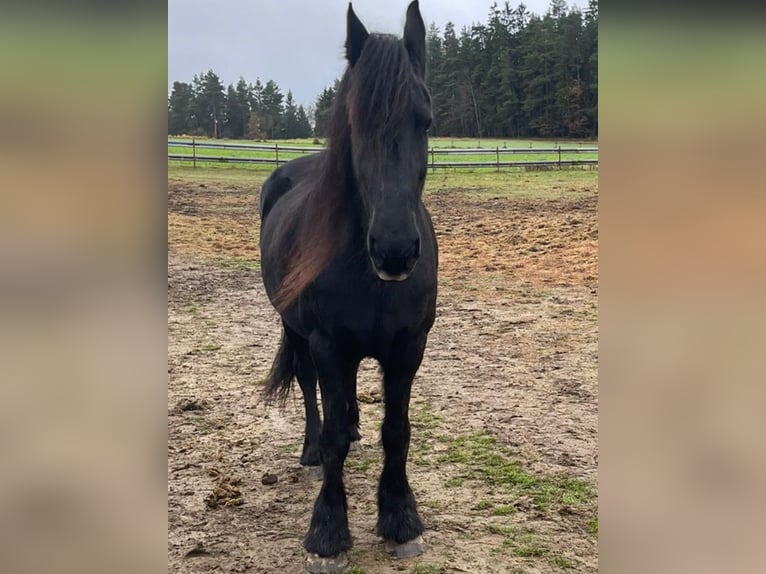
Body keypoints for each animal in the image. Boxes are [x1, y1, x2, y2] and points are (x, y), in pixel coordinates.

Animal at [258, 1, 436, 571]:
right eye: (357, 122)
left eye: (425, 121)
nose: (395, 249)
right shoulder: (328, 343)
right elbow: (334, 431)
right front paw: (328, 532)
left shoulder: (408, 346)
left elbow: (397, 430)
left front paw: (400, 520)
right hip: (296, 331)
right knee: (310, 389)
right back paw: (312, 451)